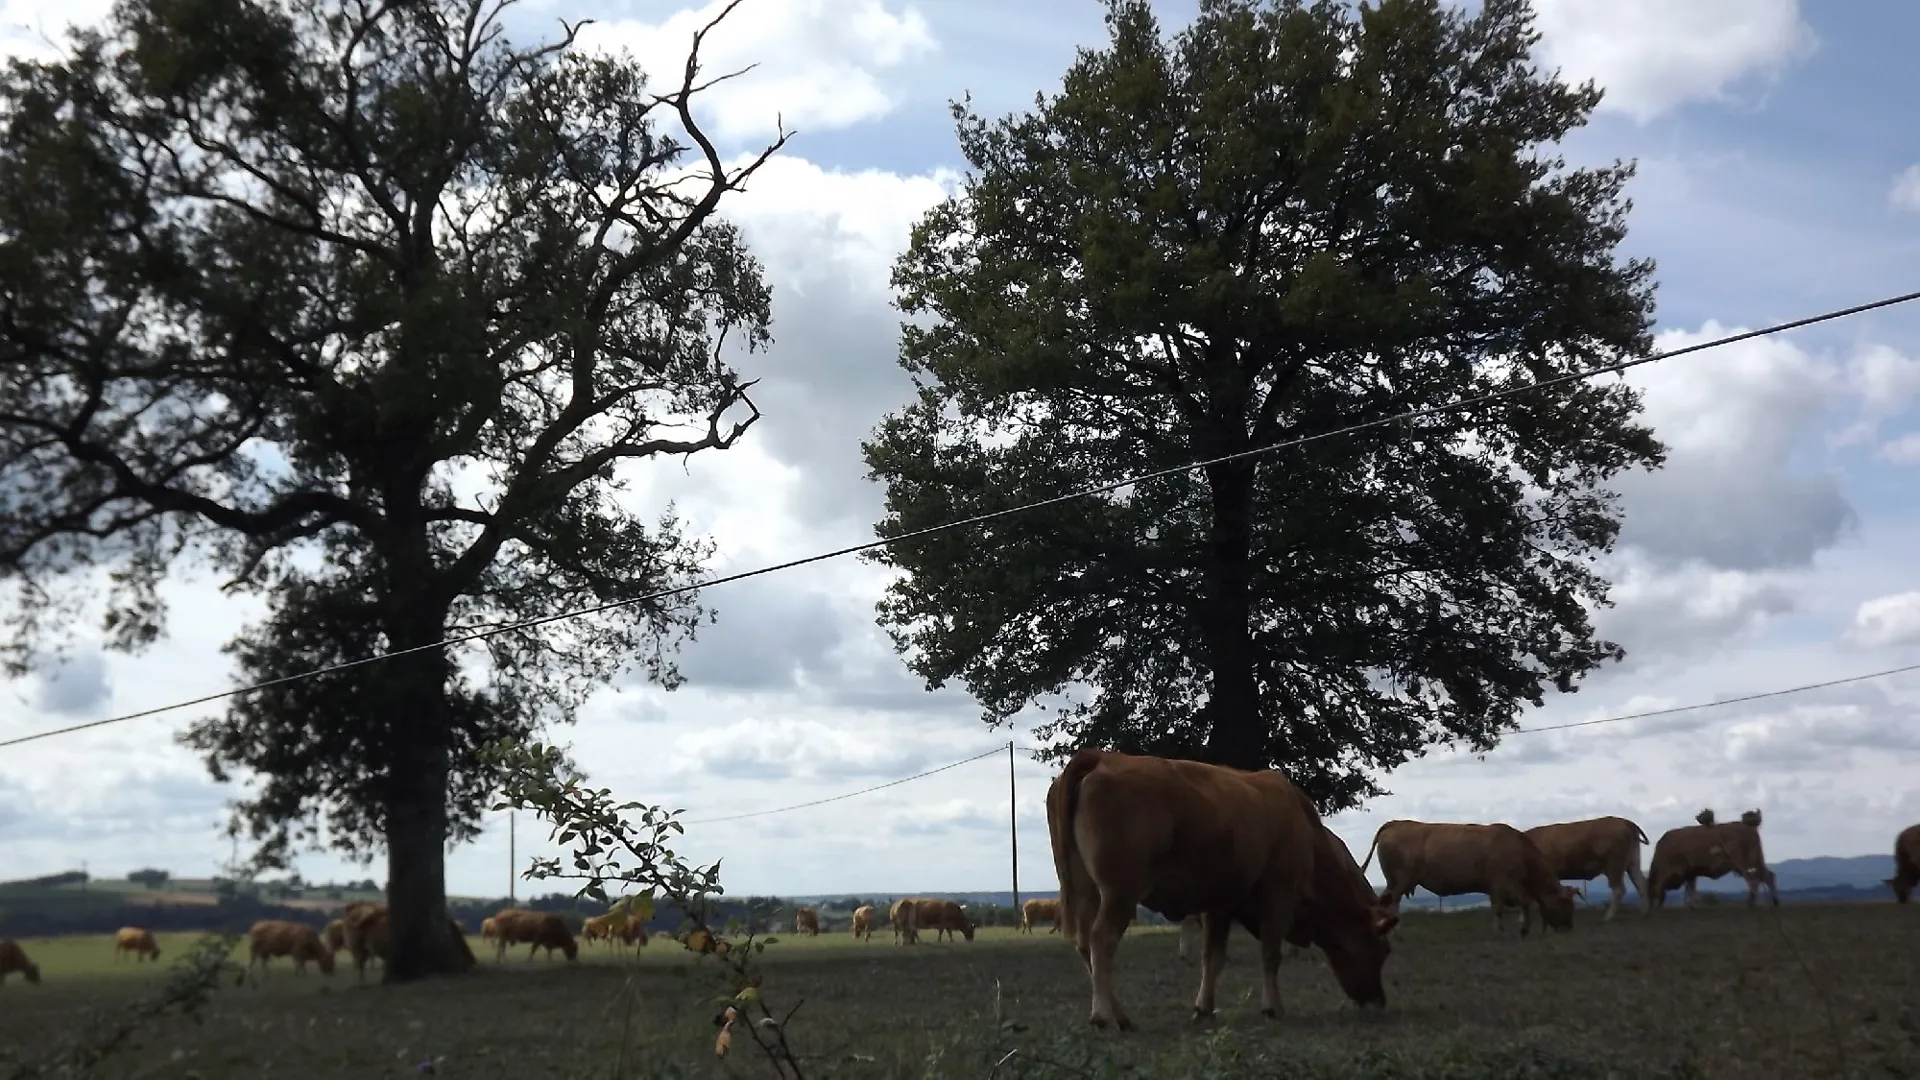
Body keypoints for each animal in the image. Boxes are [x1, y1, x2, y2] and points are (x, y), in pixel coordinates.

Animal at [1046, 748, 1399, 1031]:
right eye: (1382, 950)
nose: (1379, 1003)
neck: (1308, 836)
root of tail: (1103, 757)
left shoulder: (1220, 904)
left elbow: (1212, 958)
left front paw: (1204, 1008)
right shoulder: (1278, 894)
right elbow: (1271, 954)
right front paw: (1273, 1007)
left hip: (1087, 892)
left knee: (1085, 945)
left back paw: (1118, 1014)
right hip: (1120, 892)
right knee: (1101, 939)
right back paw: (1105, 1016)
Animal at [1361, 820, 1577, 937]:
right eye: (1566, 905)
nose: (1568, 928)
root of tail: (1395, 823)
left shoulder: (1500, 888)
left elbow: (1517, 905)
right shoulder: (1502, 884)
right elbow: (1511, 906)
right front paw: (1511, 930)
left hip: (1394, 881)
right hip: (1401, 880)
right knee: (1392, 903)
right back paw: (1397, 933)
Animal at [1522, 815, 1651, 922]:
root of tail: (1626, 822)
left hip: (1614, 866)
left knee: (1619, 890)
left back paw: (1608, 917)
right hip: (1633, 863)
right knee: (1641, 883)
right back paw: (1644, 912)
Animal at [1646, 809, 1779, 910]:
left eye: (1650, 892)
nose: (1652, 907)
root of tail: (1748, 825)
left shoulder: (1684, 870)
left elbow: (1688, 889)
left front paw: (1690, 904)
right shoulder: (1691, 872)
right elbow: (1690, 888)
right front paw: (1690, 905)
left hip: (1744, 862)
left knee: (1753, 880)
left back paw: (1751, 902)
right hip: (1756, 860)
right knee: (1768, 876)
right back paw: (1774, 901)